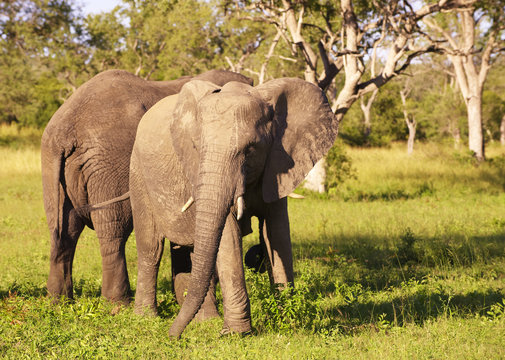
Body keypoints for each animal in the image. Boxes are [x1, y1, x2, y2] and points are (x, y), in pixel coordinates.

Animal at [40, 68, 252, 304]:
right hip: (109, 163)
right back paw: (119, 303)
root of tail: (65, 130)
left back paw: (57, 301)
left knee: (64, 228)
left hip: (52, 164)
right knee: (113, 230)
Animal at [128, 76, 336, 338]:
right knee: (151, 247)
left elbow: (276, 233)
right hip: (137, 173)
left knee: (193, 249)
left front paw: (289, 321)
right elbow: (229, 237)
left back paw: (205, 320)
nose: (172, 336)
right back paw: (146, 317)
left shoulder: (277, 165)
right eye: (197, 148)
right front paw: (237, 333)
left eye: (250, 150)